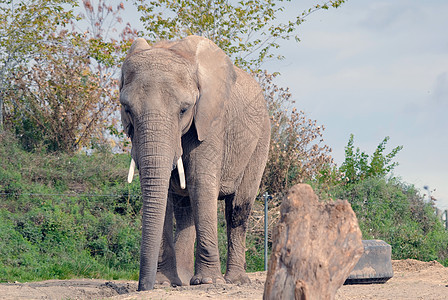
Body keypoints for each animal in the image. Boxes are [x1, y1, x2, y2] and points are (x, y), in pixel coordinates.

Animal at [120, 35, 270, 290]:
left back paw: (235, 281)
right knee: (184, 210)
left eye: (184, 109)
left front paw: (208, 281)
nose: (143, 287)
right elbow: (164, 193)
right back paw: (181, 280)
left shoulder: (211, 122)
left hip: (261, 139)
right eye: (127, 109)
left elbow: (201, 184)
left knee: (237, 209)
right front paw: (163, 283)